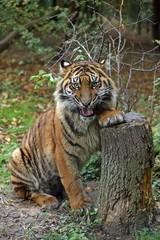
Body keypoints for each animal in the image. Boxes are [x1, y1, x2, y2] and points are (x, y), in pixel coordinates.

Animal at [8, 60, 124, 210]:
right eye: (76, 85)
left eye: (94, 84)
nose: (86, 103)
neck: (87, 123)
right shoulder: (63, 152)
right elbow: (71, 181)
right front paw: (81, 205)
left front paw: (112, 115)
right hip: (17, 155)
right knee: (27, 192)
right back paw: (48, 200)